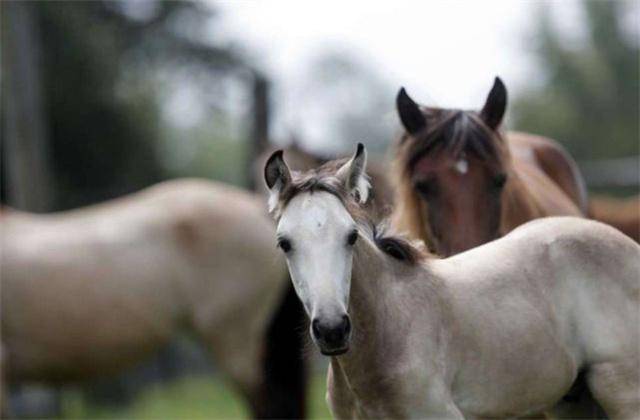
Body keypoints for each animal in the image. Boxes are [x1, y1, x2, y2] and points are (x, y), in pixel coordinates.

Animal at [264, 146, 640, 418]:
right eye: (284, 243)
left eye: (351, 236)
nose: (332, 330)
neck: (392, 332)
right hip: (573, 402)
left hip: (621, 392)